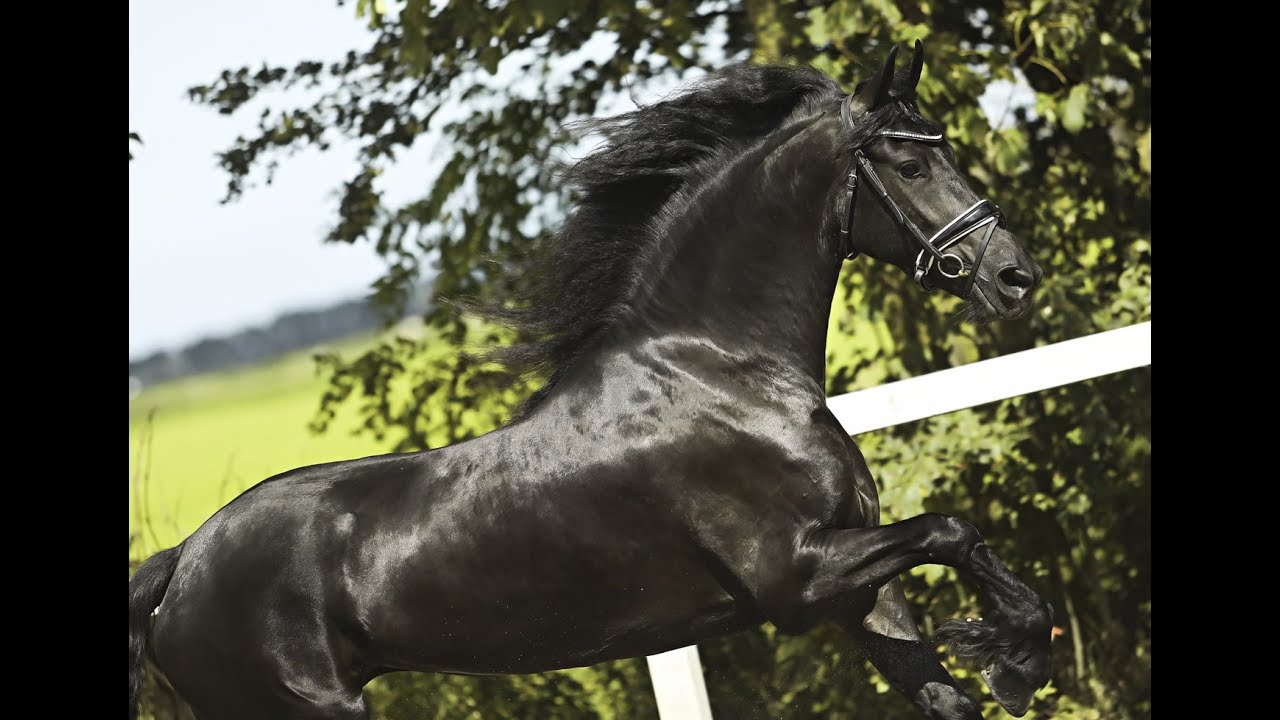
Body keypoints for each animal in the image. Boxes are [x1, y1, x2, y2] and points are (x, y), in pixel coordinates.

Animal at [129, 42, 1052, 720]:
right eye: (908, 163)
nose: (1014, 276)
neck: (721, 374)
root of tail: (179, 566)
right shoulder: (797, 578)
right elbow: (951, 528)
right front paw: (1014, 655)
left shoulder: (860, 590)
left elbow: (947, 684)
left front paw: (1010, 655)